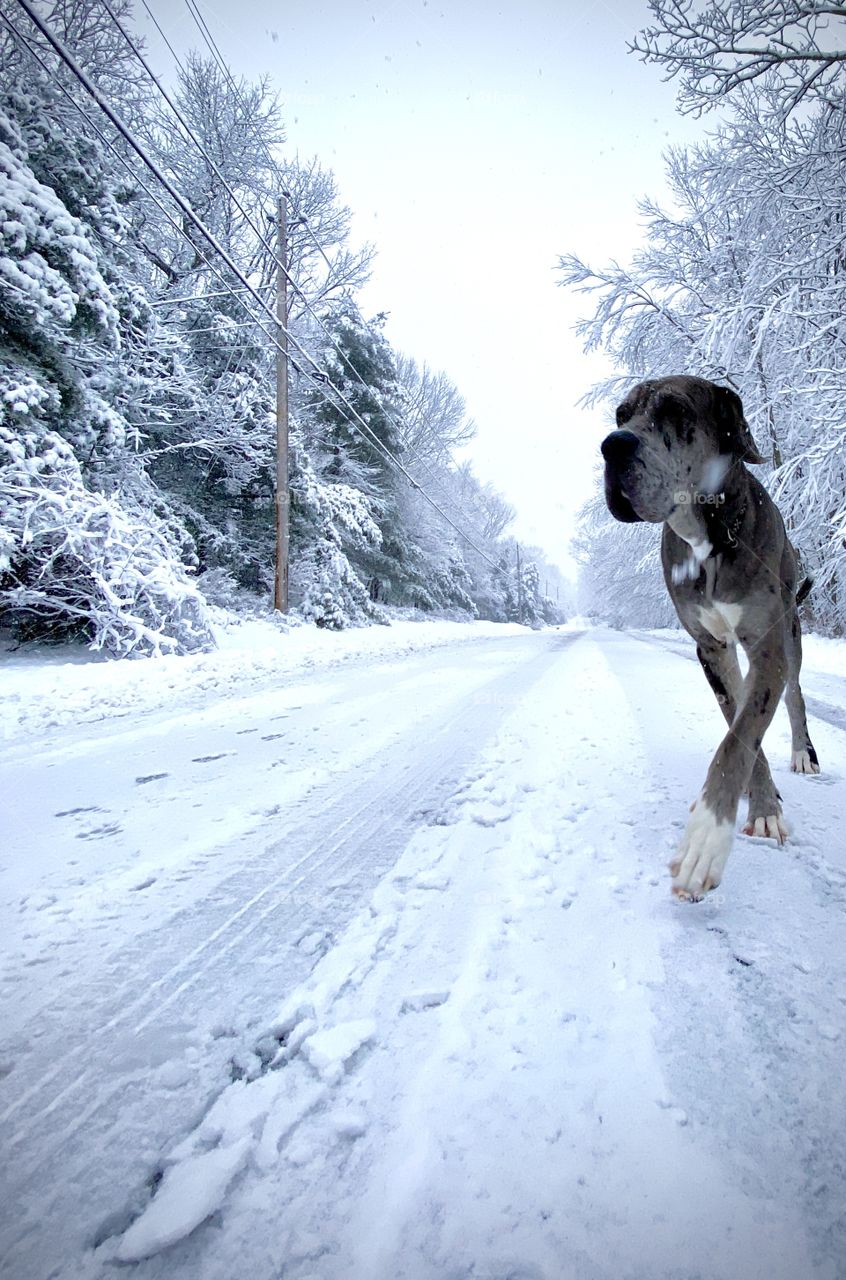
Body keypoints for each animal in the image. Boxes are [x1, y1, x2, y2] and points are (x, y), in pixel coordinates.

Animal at [596, 373, 814, 901]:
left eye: (675, 410)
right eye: (620, 414)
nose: (612, 445)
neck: (709, 538)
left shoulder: (767, 645)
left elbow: (740, 739)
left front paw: (707, 839)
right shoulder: (711, 650)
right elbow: (740, 728)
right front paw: (763, 803)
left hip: (791, 632)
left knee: (795, 695)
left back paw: (803, 753)